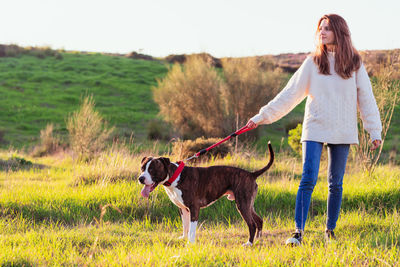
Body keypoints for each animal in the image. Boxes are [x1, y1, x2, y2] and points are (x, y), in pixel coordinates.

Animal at [139, 142, 274, 247]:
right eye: (142, 168)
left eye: (152, 169)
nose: (140, 178)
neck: (175, 176)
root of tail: (251, 174)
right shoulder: (183, 209)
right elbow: (185, 226)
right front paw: (184, 238)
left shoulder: (194, 208)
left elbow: (192, 229)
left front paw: (190, 243)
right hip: (248, 204)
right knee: (259, 220)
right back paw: (258, 239)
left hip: (242, 204)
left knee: (252, 224)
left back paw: (249, 243)